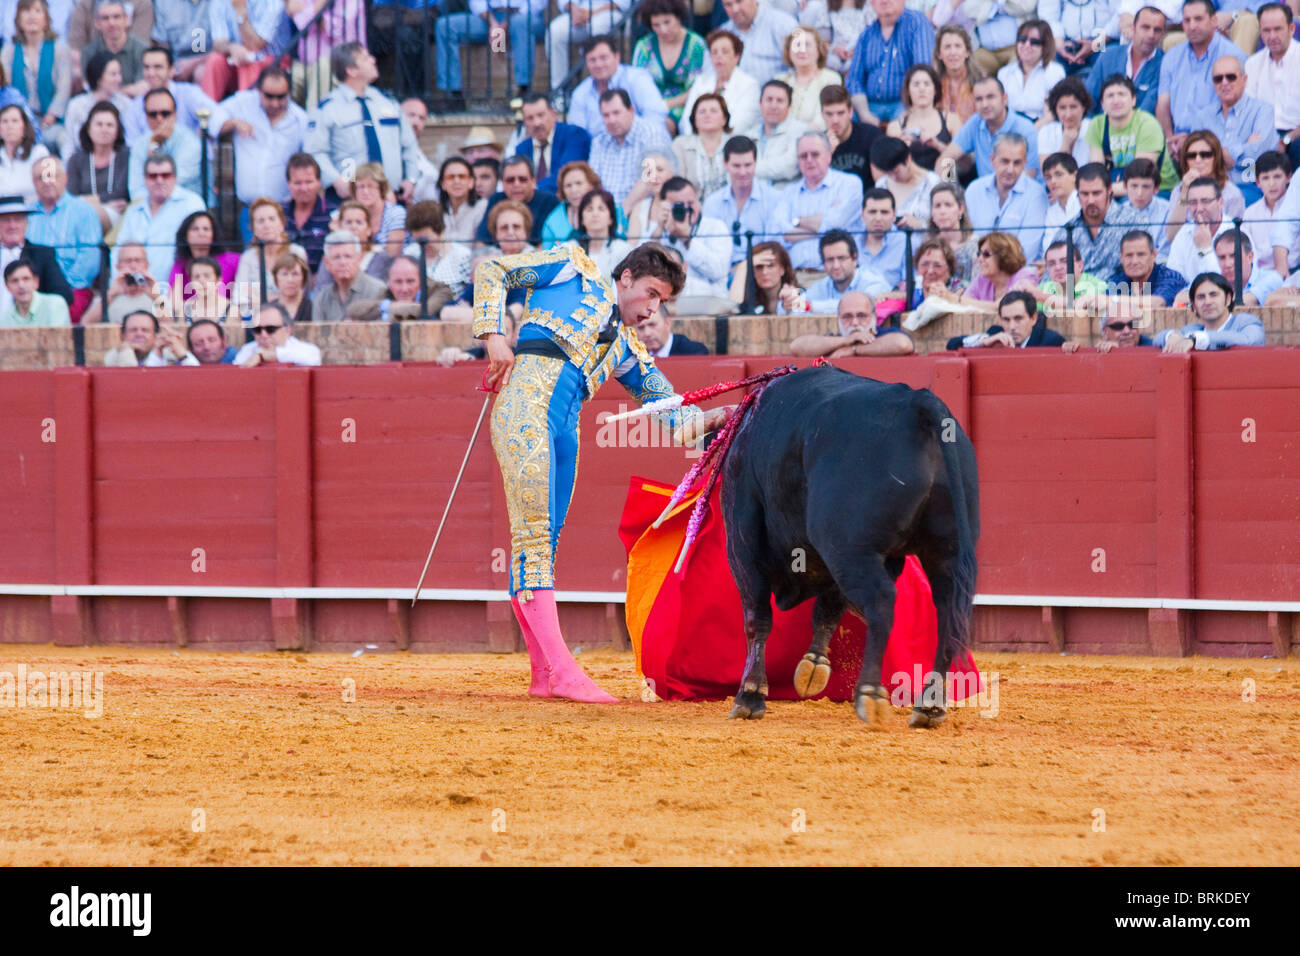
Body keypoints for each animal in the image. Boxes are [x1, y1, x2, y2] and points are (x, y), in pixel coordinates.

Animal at [722, 366, 977, 723]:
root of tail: (916, 403)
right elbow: (828, 607)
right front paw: (813, 667)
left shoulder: (743, 542)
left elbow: (757, 617)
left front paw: (750, 695)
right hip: (944, 552)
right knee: (948, 612)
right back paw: (929, 705)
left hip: (850, 551)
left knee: (883, 600)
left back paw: (870, 695)